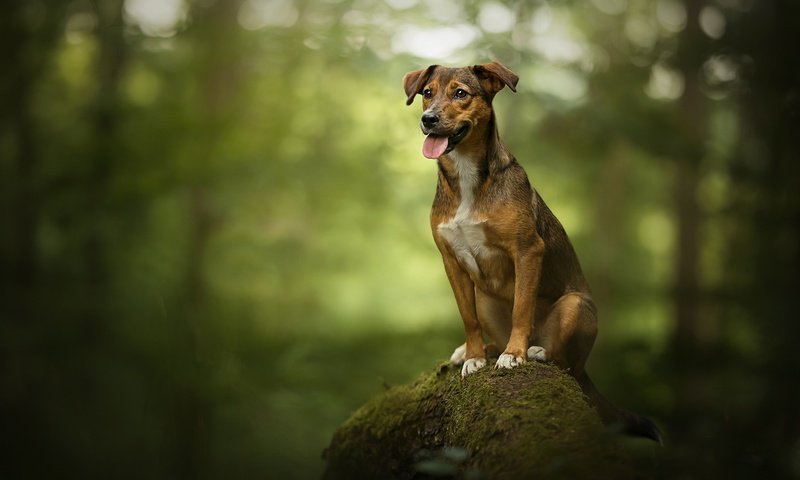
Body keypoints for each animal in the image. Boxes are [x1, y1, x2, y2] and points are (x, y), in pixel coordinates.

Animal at [404, 61, 660, 442]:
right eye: (427, 93)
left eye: (460, 93)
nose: (428, 119)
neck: (467, 177)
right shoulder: (451, 262)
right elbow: (467, 318)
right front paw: (474, 357)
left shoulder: (527, 250)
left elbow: (522, 308)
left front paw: (515, 354)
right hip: (484, 298)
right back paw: (479, 350)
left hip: (576, 305)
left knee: (565, 363)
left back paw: (536, 350)